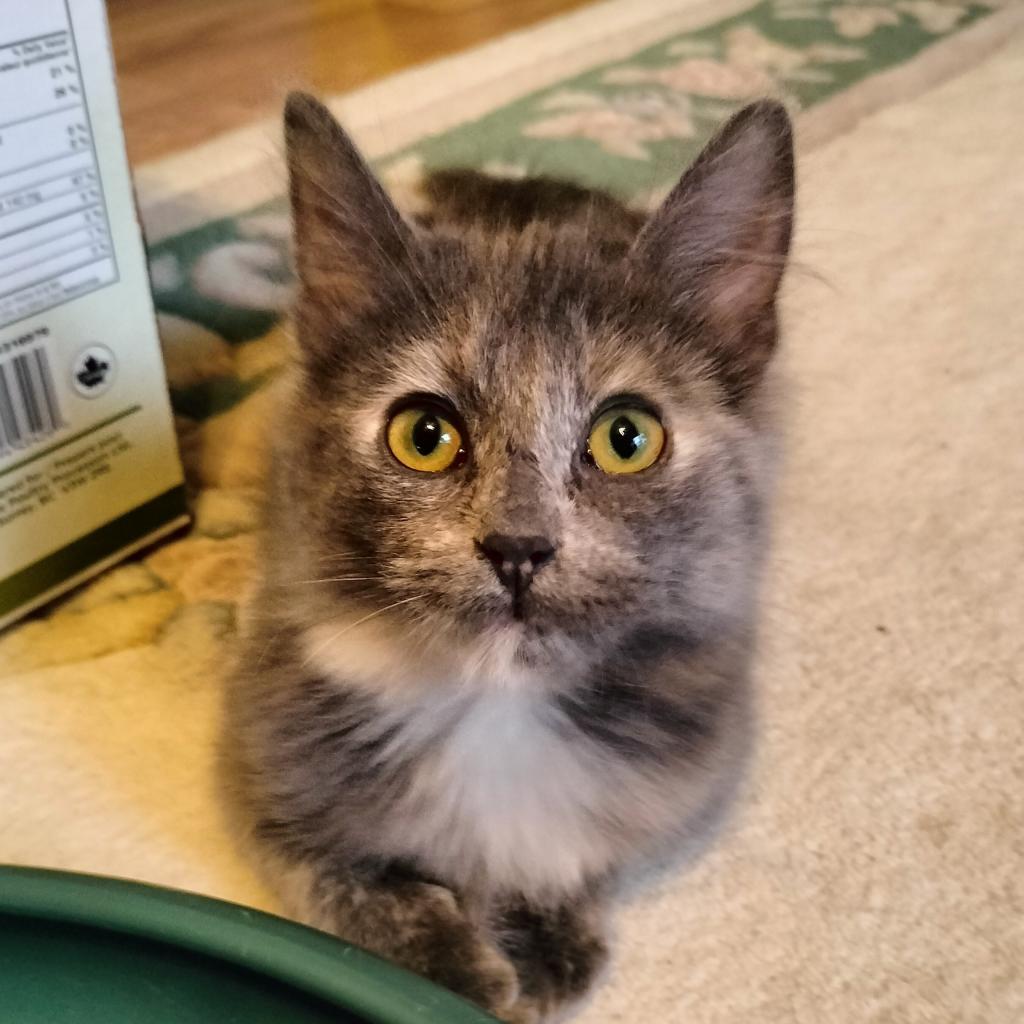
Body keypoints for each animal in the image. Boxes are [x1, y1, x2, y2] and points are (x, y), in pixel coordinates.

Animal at [224, 92, 794, 1019]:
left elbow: (580, 852)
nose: (518, 547)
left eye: (626, 438)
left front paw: (538, 926)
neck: (499, 703)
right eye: (423, 435)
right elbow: (337, 878)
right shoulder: (258, 761)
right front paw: (448, 963)